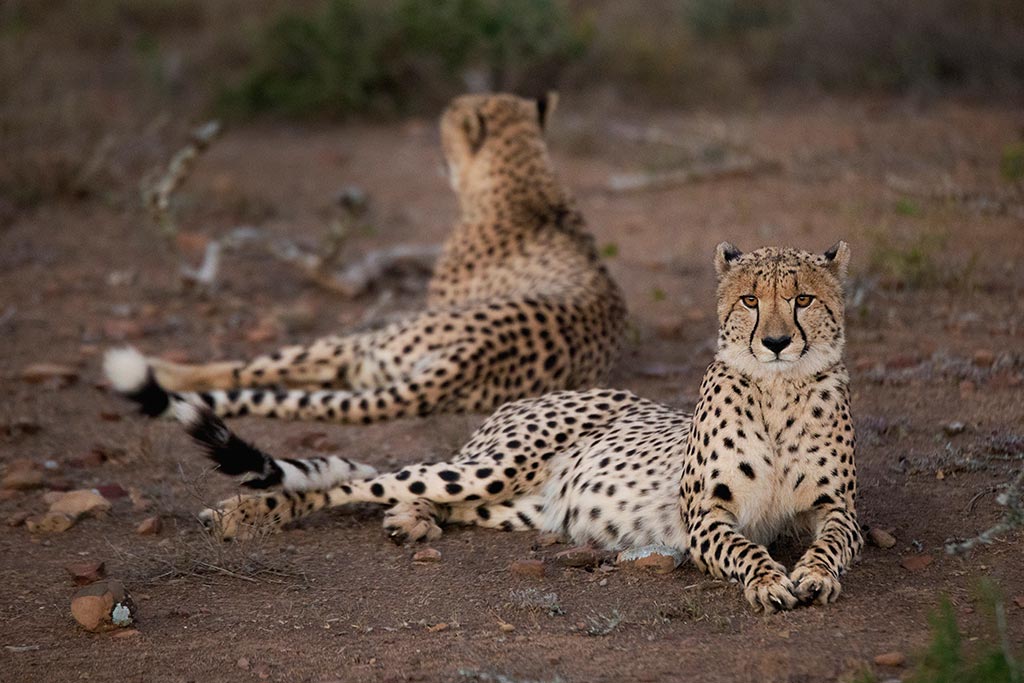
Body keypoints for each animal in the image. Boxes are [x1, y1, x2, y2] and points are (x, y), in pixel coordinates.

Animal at [103, 93, 622, 444]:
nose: (437, 154)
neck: (529, 184)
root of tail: (472, 355)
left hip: (362, 346)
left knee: (247, 370)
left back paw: (162, 368)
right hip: (372, 367)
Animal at [180, 241, 860, 614]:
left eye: (802, 299)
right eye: (750, 300)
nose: (776, 342)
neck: (778, 392)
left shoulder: (838, 509)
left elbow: (833, 541)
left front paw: (814, 575)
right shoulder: (705, 515)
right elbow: (745, 547)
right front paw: (770, 581)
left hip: (525, 507)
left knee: (423, 497)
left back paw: (410, 521)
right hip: (490, 467)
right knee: (358, 482)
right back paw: (240, 515)